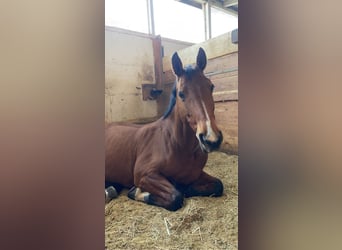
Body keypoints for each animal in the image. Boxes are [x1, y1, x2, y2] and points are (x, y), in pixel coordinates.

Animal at [107, 47, 224, 211]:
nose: (211, 139)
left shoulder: (196, 174)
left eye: (211, 87)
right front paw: (137, 192)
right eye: (181, 93)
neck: (175, 144)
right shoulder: (145, 174)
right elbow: (176, 196)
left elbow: (218, 185)